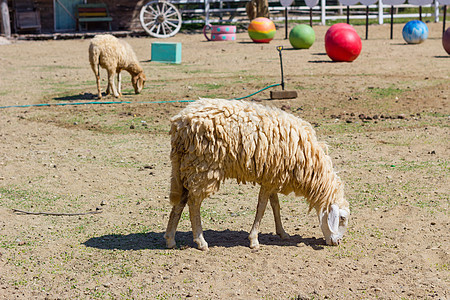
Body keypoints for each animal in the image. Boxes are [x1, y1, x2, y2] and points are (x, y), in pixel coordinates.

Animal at [165, 98, 352, 251]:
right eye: (342, 218)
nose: (337, 242)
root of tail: (179, 124)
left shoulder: (272, 176)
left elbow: (275, 205)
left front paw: (282, 233)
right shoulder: (271, 178)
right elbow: (262, 208)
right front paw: (254, 240)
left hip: (186, 166)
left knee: (181, 200)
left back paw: (170, 239)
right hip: (203, 167)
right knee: (194, 203)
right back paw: (201, 241)